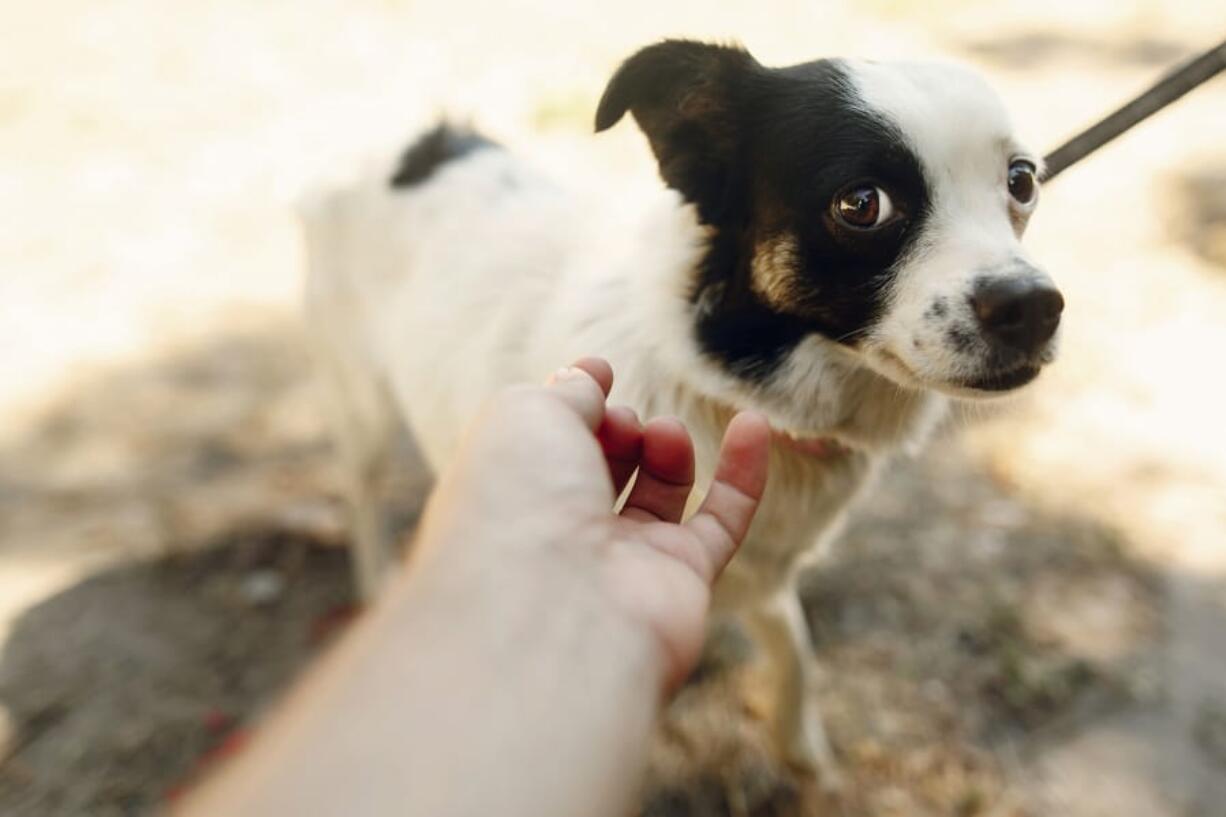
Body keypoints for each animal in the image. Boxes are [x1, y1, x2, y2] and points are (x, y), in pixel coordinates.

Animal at [299, 38, 1064, 775]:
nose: (1036, 308)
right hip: (359, 404)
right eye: (861, 204)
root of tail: (403, 138)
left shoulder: (758, 571)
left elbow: (793, 643)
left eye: (1021, 181)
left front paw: (799, 744)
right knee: (361, 493)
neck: (731, 386)